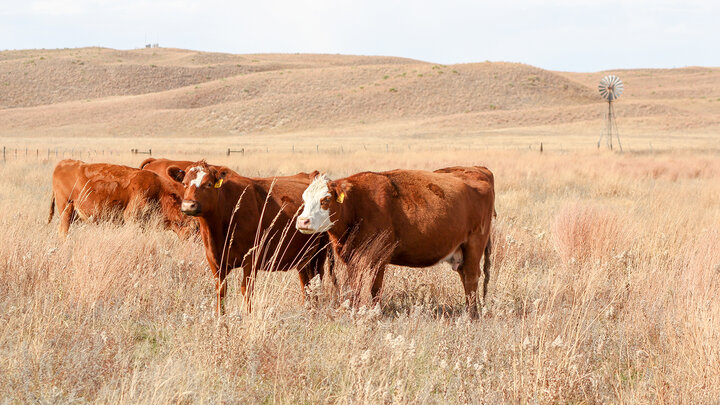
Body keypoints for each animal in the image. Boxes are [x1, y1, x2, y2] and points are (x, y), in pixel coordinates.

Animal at [171, 161, 332, 315]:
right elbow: (221, 290)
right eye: (184, 183)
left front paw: (248, 316)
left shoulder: (251, 258)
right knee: (306, 284)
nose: (188, 205)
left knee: (316, 281)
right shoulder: (214, 260)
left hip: (320, 252)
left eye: (208, 184)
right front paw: (220, 318)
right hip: (303, 257)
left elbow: (246, 289)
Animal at [296, 166, 495, 318]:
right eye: (304, 199)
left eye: (326, 199)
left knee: (471, 278)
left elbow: (375, 288)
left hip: (474, 245)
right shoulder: (352, 258)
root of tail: (478, 169)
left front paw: (374, 313)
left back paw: (471, 316)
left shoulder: (380, 256)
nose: (303, 221)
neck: (357, 204)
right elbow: (355, 286)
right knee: (465, 278)